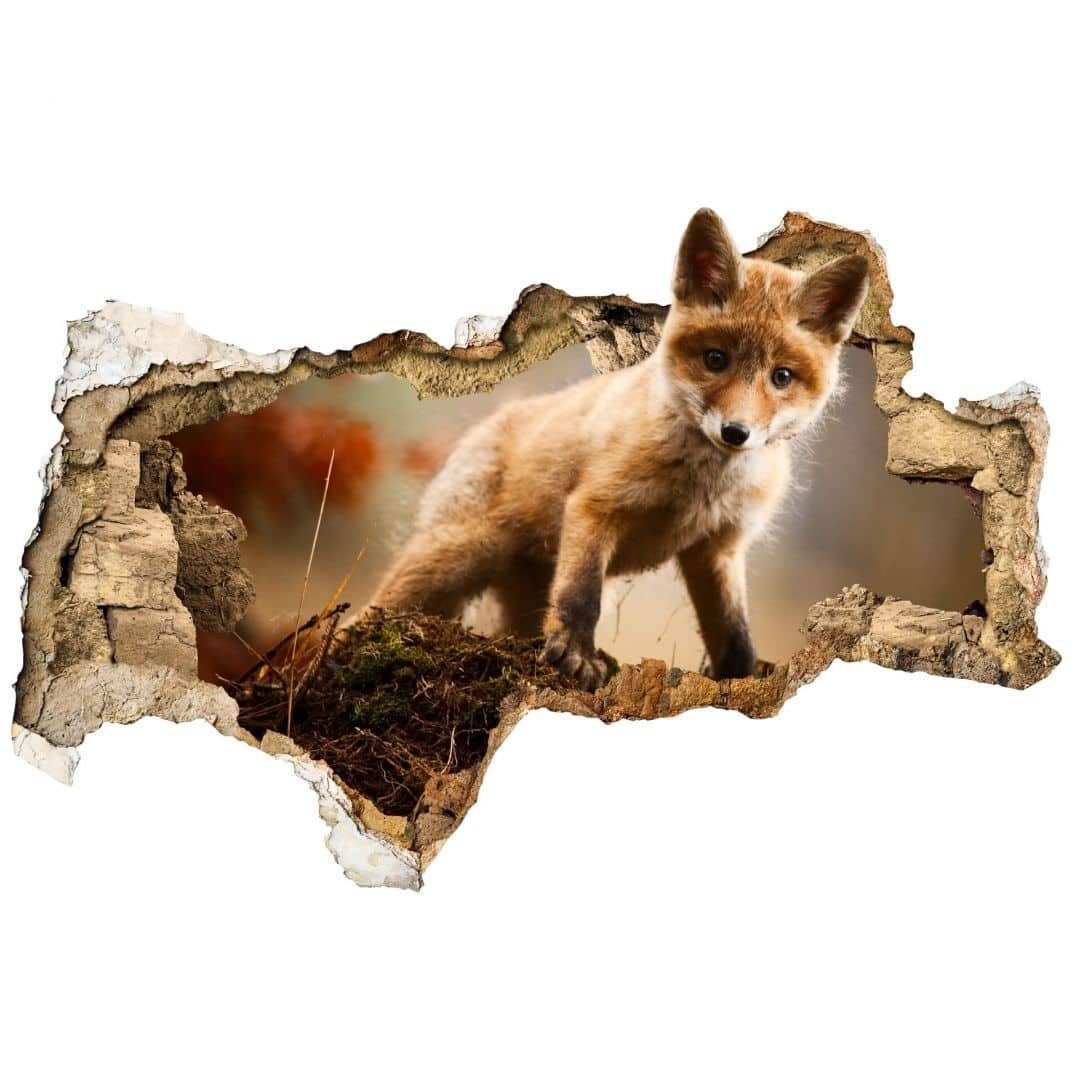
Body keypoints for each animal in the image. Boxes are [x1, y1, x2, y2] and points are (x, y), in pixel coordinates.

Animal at [371, 209, 870, 690]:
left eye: (781, 376)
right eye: (715, 359)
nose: (735, 432)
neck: (701, 486)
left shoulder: (717, 548)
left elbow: (733, 634)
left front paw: (740, 679)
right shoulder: (595, 508)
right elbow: (579, 597)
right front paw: (576, 657)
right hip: (455, 558)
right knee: (374, 610)